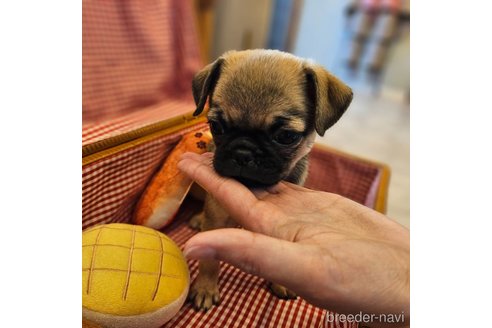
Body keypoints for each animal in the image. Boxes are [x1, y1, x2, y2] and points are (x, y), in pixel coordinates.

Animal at [186, 48, 352, 310]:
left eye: (286, 136)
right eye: (216, 126)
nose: (243, 152)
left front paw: (282, 283)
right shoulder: (217, 214)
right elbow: (209, 259)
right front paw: (205, 288)